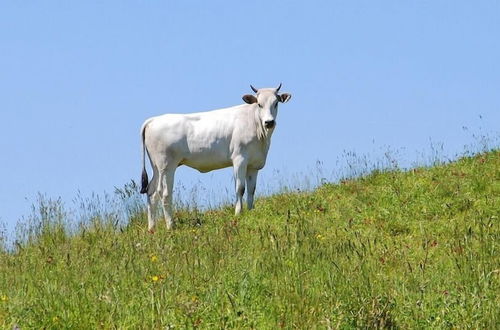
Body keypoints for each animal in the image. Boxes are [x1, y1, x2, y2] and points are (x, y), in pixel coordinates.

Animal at [139, 84, 292, 231]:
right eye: (259, 104)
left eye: (276, 103)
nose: (269, 122)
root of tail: (153, 119)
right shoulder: (239, 159)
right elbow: (240, 188)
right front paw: (238, 213)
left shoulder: (254, 164)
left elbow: (251, 189)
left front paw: (250, 211)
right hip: (166, 166)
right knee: (164, 192)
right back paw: (171, 226)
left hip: (156, 167)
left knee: (151, 192)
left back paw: (152, 228)